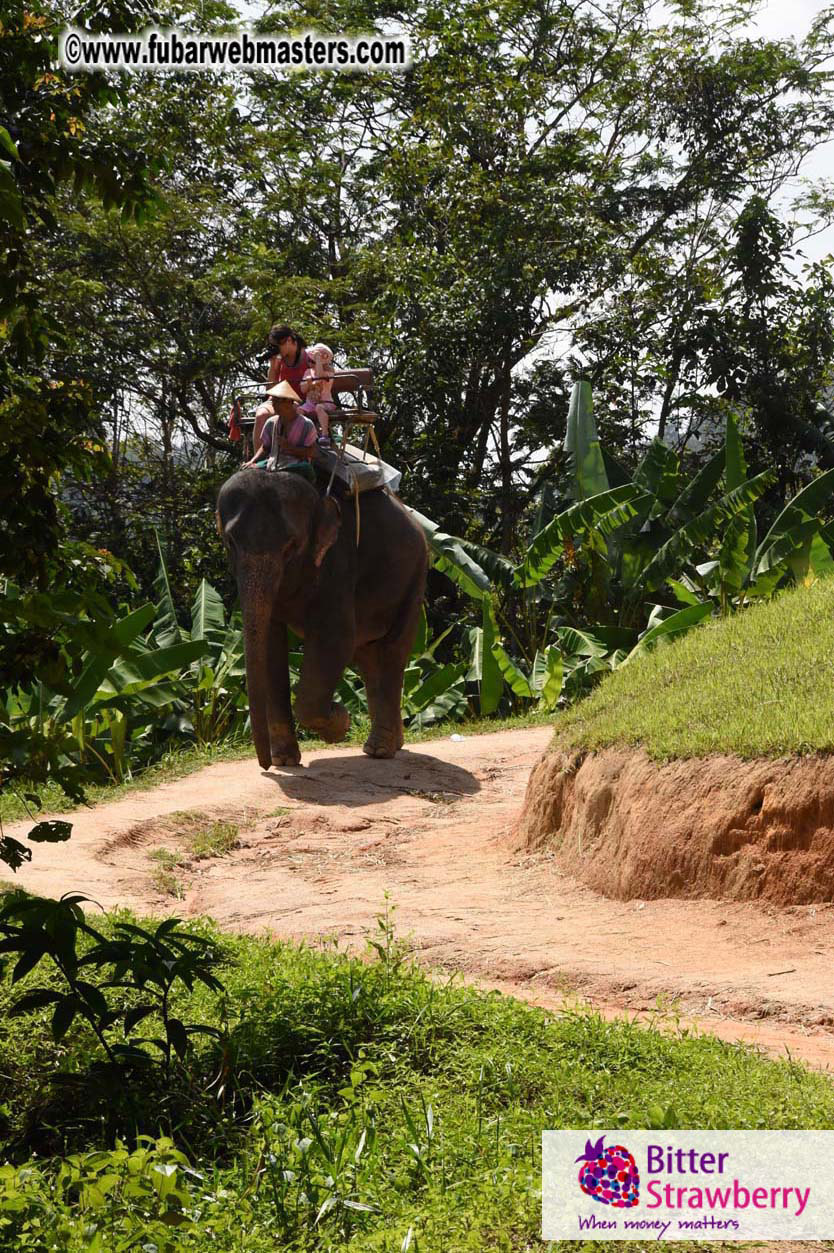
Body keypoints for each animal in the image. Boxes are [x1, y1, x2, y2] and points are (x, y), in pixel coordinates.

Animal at [216, 469, 428, 767]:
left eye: (291, 546)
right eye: (231, 542)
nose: (265, 765)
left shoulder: (338, 562)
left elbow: (335, 638)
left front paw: (340, 722)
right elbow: (270, 645)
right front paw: (285, 761)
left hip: (415, 579)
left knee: (393, 651)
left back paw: (380, 751)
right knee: (368, 657)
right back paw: (388, 745)